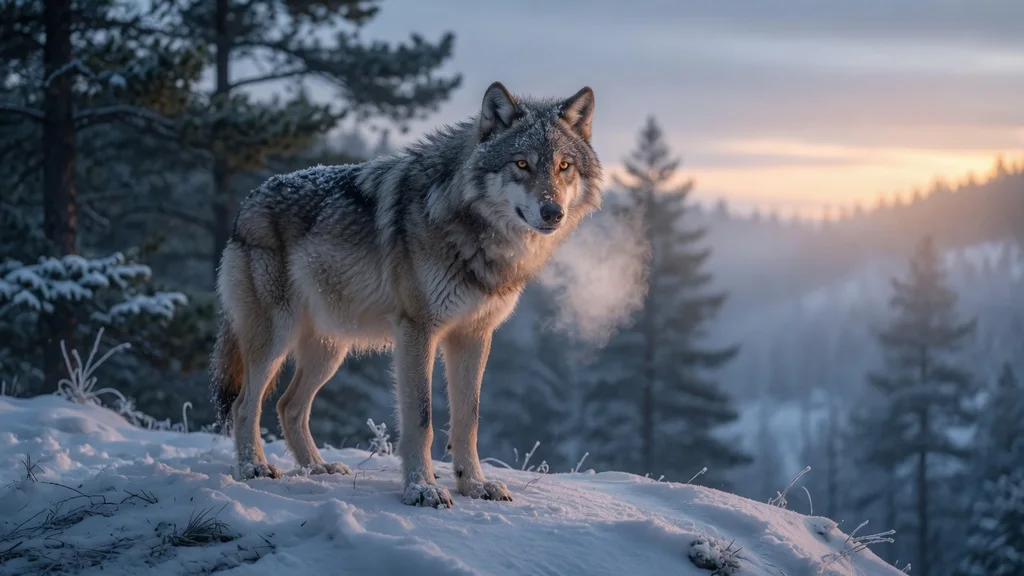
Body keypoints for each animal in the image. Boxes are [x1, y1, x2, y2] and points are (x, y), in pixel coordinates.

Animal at [210, 81, 603, 508]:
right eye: (521, 164)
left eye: (564, 166)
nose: (552, 212)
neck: (475, 235)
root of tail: (248, 202)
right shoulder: (418, 331)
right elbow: (421, 419)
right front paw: (423, 488)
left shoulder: (474, 335)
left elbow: (468, 419)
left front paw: (474, 485)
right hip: (275, 339)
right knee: (245, 404)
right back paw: (254, 467)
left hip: (330, 350)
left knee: (289, 406)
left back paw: (318, 468)